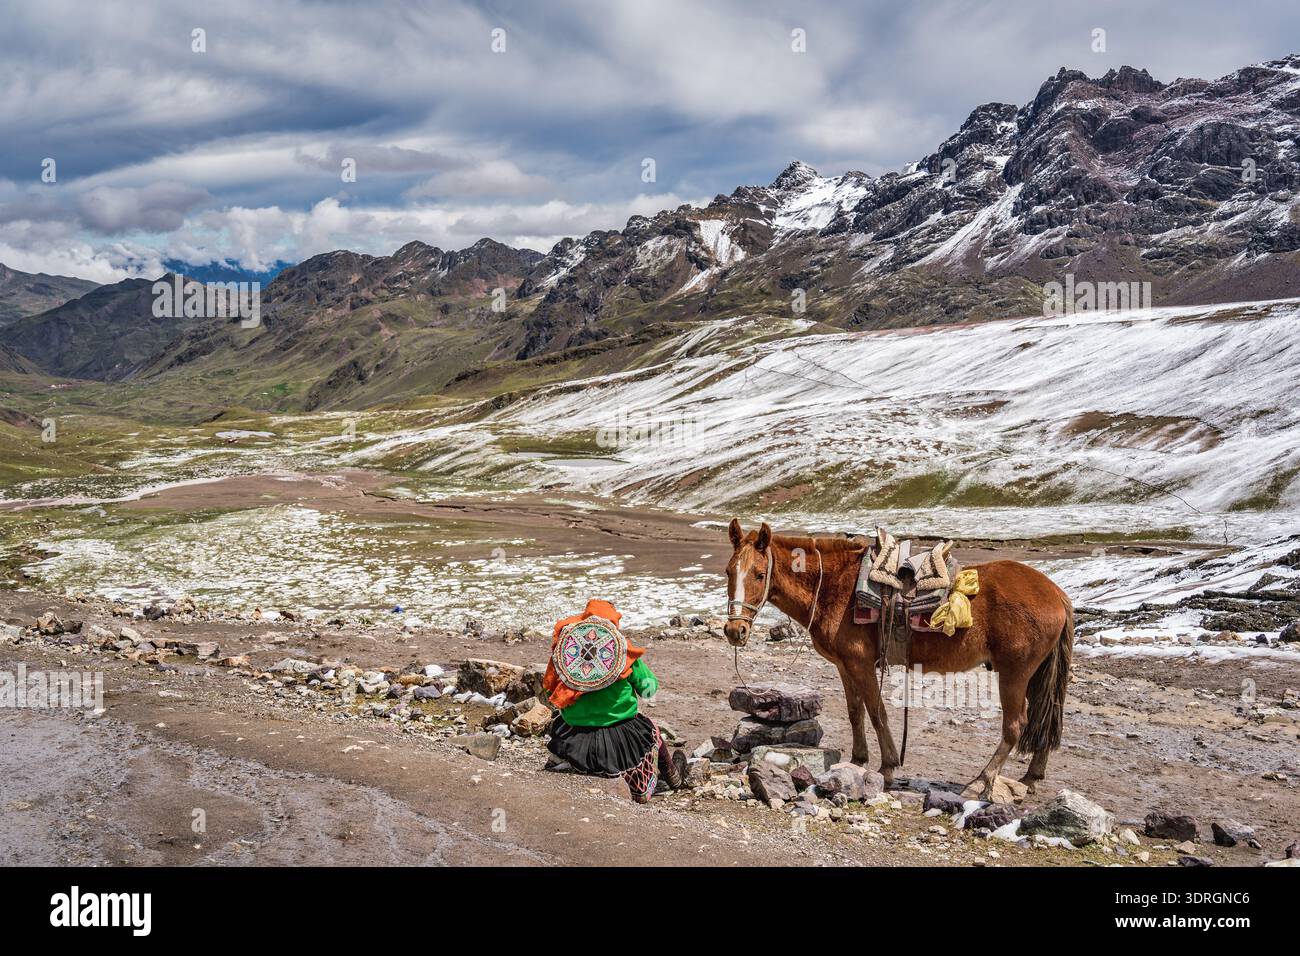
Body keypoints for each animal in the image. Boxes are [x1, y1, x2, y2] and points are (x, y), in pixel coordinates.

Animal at [722, 519, 1073, 800]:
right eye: (728, 571)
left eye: (759, 574)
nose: (735, 630)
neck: (833, 588)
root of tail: (1056, 592)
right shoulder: (844, 666)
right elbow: (855, 713)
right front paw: (858, 761)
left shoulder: (861, 664)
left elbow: (877, 712)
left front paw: (888, 767)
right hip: (1034, 674)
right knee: (1044, 718)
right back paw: (1030, 778)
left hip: (1014, 673)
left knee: (1016, 725)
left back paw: (979, 782)